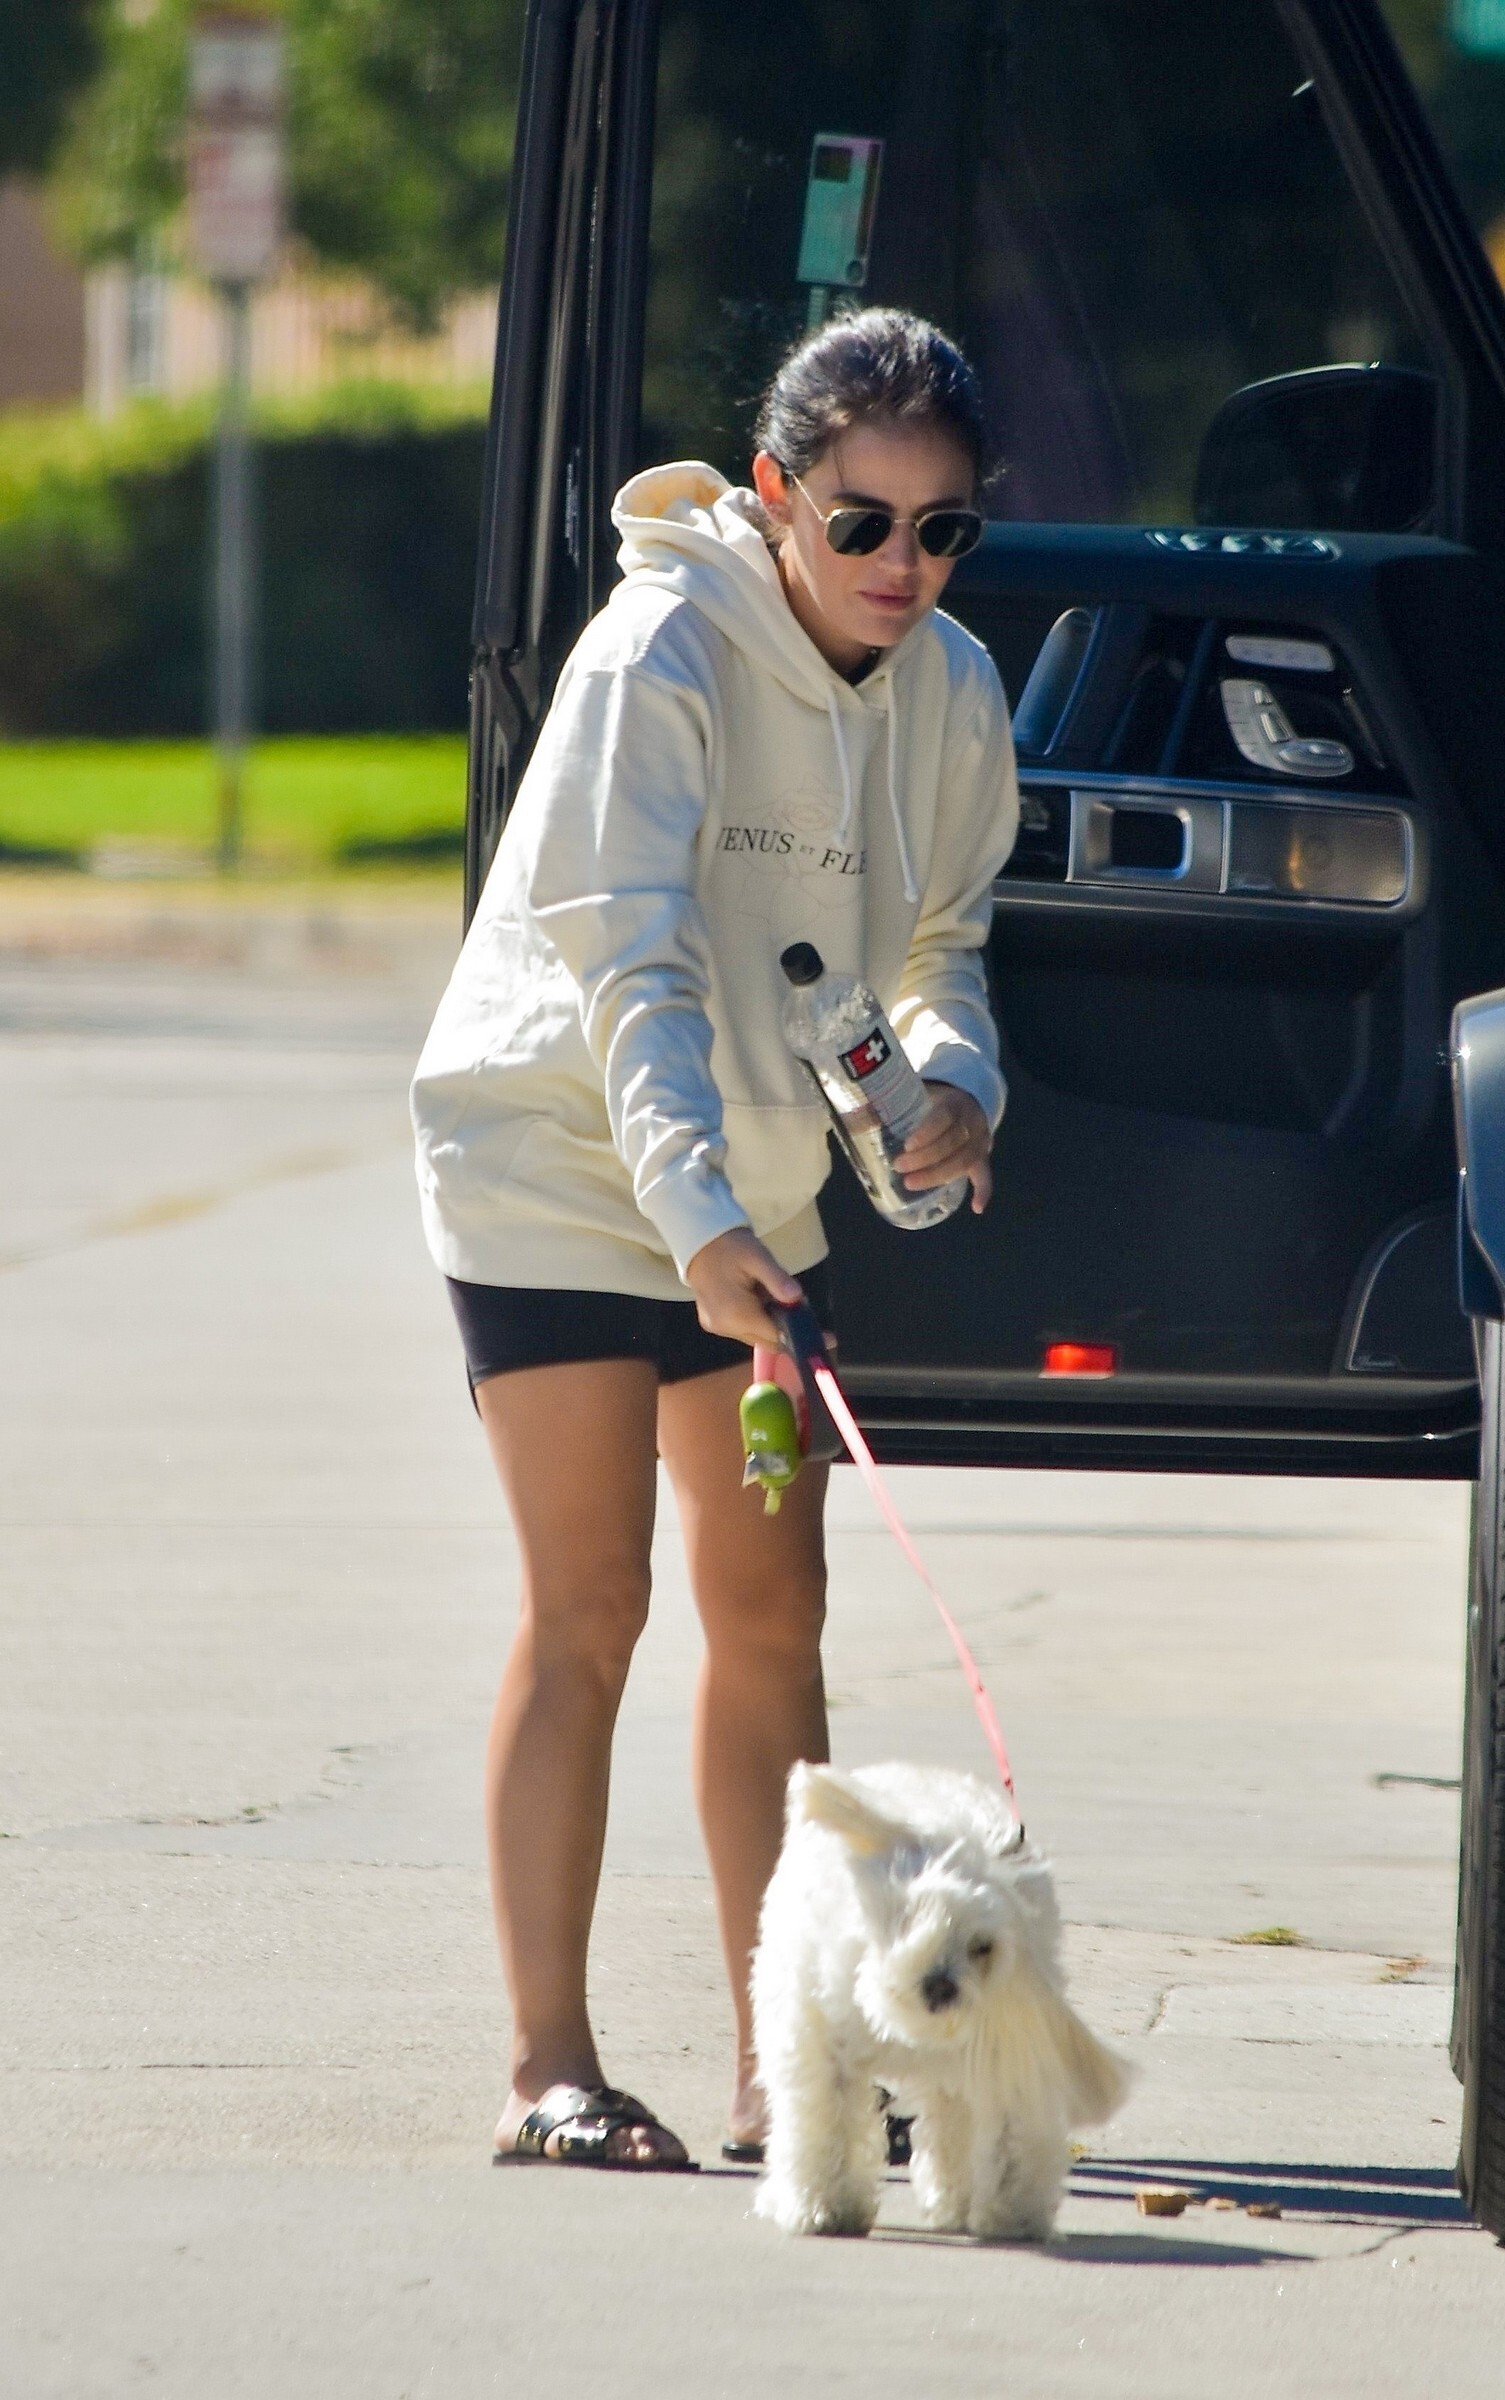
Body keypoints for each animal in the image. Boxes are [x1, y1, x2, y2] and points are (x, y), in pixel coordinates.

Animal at [751, 1761, 1130, 2240]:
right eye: (913, 1915)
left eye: (982, 1946)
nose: (940, 1985)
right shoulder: (823, 2048)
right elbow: (826, 2121)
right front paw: (823, 2207)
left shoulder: (1006, 2043)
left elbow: (1011, 2133)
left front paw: (1013, 2214)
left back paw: (955, 2199)